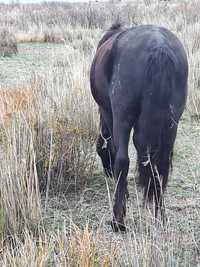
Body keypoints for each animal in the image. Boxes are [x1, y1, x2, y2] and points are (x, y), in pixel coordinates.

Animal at [90, 23, 188, 232]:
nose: (107, 172)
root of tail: (159, 46)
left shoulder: (108, 114)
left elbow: (113, 149)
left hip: (123, 117)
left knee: (122, 160)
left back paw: (118, 220)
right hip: (171, 125)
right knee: (160, 166)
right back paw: (161, 218)